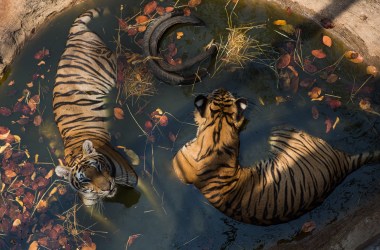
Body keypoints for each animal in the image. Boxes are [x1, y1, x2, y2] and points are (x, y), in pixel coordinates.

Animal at [52, 8, 137, 206]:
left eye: (98, 167)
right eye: (85, 180)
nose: (107, 187)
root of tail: (73, 34)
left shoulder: (131, 177)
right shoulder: (89, 200)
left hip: (109, 65)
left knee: (122, 56)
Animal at [173, 88, 380, 225]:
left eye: (217, 92)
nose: (222, 87)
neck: (219, 127)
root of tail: (342, 164)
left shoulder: (179, 166)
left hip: (282, 131)